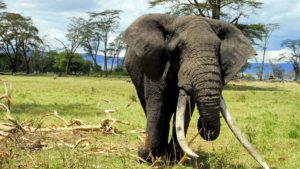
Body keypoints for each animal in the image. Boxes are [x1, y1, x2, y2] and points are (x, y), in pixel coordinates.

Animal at [123, 13, 268, 168]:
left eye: (218, 49)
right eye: (177, 50)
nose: (202, 125)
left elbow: (186, 111)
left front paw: (173, 159)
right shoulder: (156, 63)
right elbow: (156, 105)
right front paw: (146, 157)